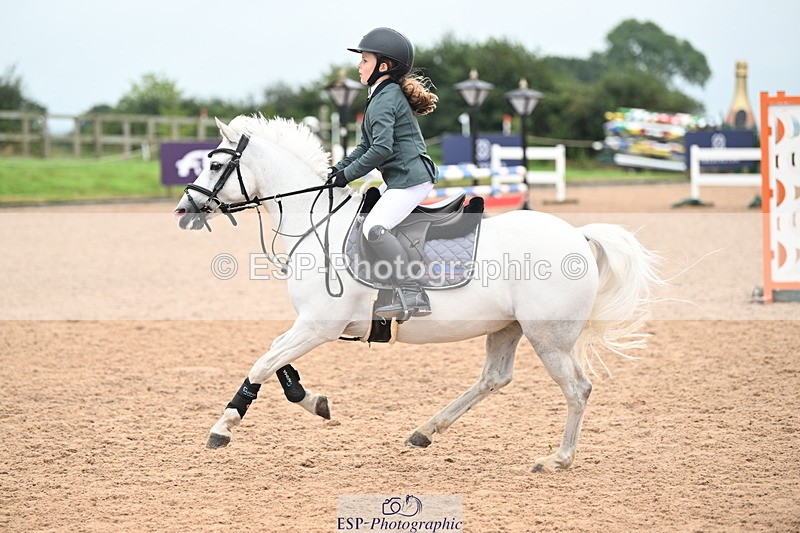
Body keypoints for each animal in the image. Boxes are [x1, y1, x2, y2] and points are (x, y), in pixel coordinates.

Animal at [173, 114, 663, 472]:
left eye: (214, 165)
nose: (183, 210)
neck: (316, 225)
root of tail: (578, 235)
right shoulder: (309, 325)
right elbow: (277, 360)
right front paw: (313, 402)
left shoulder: (319, 325)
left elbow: (263, 362)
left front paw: (223, 427)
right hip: (507, 328)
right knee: (494, 378)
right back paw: (425, 430)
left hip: (549, 337)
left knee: (577, 389)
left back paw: (557, 460)